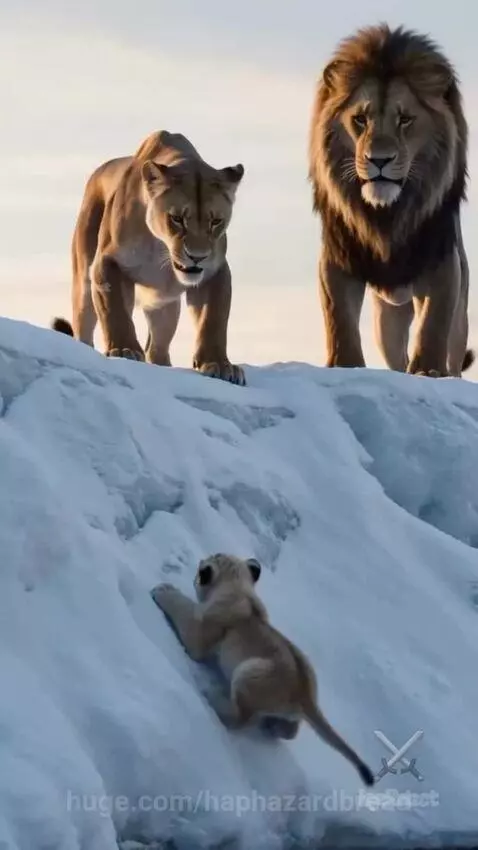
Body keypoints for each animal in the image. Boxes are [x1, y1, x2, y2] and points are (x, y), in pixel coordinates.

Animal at [51, 130, 246, 385]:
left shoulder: (216, 271)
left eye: (215, 221)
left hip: (166, 308)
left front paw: (219, 365)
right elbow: (114, 311)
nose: (197, 257)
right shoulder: (107, 263)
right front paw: (124, 349)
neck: (161, 247)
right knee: (83, 330)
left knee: (157, 349)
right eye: (177, 219)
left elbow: (213, 320)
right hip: (84, 283)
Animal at [151, 553, 375, 786]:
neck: (238, 587)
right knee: (290, 731)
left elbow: (183, 608)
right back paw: (272, 726)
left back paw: (212, 697)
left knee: (240, 719)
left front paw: (162, 590)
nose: (199, 570)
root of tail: (306, 696)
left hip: (248, 673)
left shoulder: (197, 638)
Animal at [308, 23, 473, 377]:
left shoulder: (442, 264)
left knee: (452, 352)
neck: (387, 215)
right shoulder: (337, 258)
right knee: (396, 356)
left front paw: (428, 372)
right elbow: (339, 319)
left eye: (405, 119)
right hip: (386, 321)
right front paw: (345, 366)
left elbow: (433, 325)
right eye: (360, 119)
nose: (379, 160)